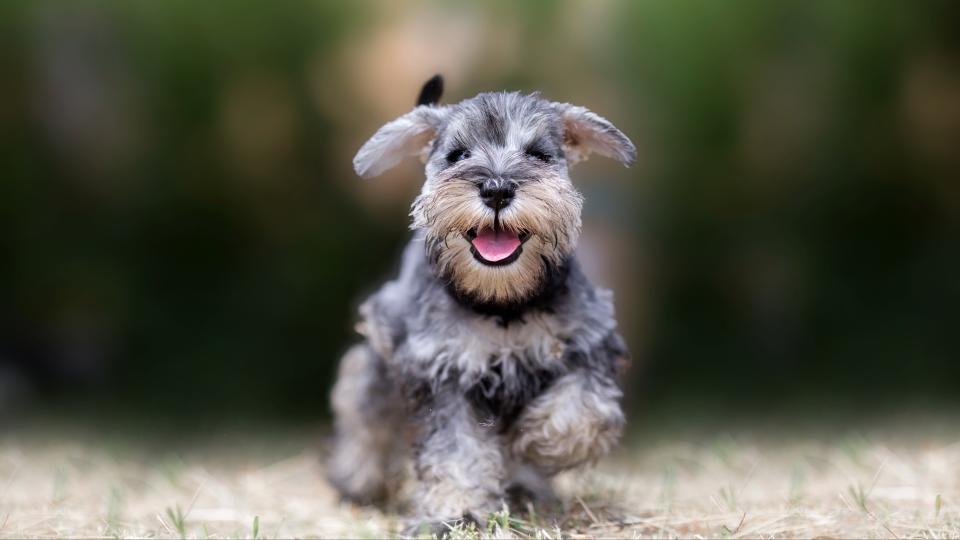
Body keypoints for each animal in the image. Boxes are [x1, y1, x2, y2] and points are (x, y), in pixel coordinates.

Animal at [330, 76, 636, 532]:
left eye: (538, 154)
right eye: (458, 155)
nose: (496, 188)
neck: (501, 304)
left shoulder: (588, 345)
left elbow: (583, 410)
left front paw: (536, 442)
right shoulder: (443, 372)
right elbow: (456, 451)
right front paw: (457, 510)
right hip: (378, 363)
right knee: (365, 413)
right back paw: (356, 479)